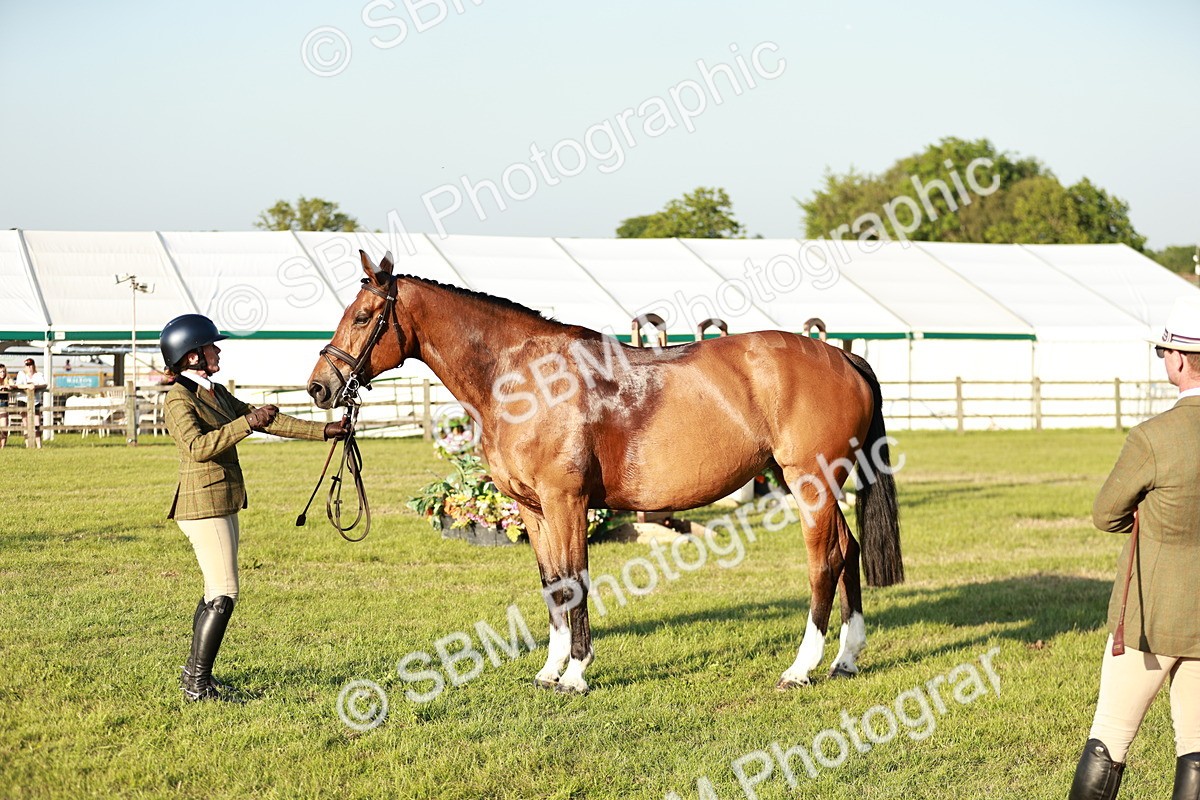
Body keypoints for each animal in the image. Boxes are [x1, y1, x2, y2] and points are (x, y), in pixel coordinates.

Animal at [307, 250, 902, 694]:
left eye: (363, 316)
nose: (319, 386)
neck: (525, 378)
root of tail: (842, 357)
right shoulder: (531, 508)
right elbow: (551, 583)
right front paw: (549, 670)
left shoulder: (565, 500)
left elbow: (575, 581)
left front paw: (575, 673)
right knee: (847, 550)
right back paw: (845, 658)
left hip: (810, 483)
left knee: (825, 561)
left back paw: (801, 668)